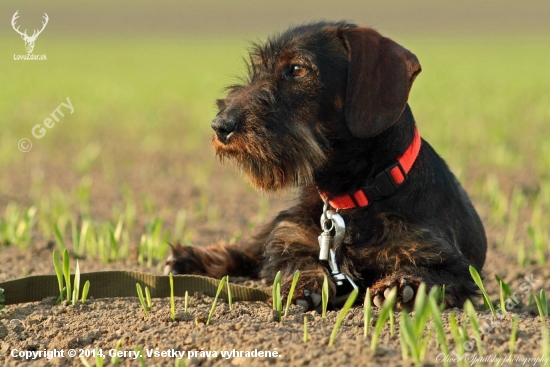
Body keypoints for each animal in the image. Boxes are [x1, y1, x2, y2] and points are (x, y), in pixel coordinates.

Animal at [164, 20, 488, 310]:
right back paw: (187, 258)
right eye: (257, 69)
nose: (220, 125)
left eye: (297, 69)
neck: (353, 192)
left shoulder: (448, 261)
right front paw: (304, 286)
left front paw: (404, 285)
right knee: (245, 249)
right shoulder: (290, 236)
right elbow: (292, 262)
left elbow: (435, 274)